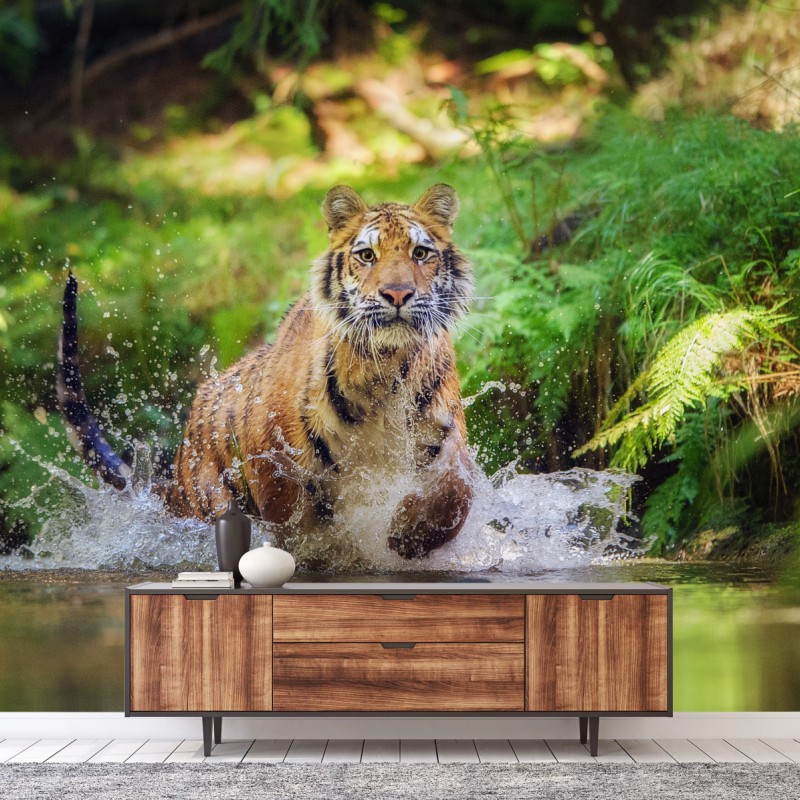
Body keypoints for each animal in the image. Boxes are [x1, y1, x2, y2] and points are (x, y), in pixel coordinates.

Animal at [58, 184, 475, 561]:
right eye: (367, 255)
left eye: (420, 253)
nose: (398, 294)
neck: (383, 370)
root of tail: (182, 450)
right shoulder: (276, 465)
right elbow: (299, 526)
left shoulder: (446, 437)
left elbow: (457, 492)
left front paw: (409, 534)